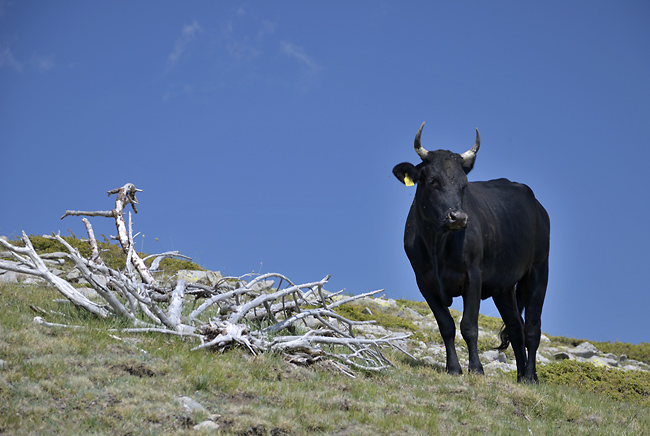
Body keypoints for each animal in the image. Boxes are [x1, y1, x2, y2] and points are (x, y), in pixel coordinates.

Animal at [392, 122, 548, 382]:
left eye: (464, 184)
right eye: (433, 180)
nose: (459, 217)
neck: (437, 246)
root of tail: (538, 205)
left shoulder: (473, 276)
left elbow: (469, 326)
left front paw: (476, 368)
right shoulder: (424, 282)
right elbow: (446, 325)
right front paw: (453, 368)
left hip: (538, 270)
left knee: (532, 328)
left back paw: (531, 377)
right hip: (503, 287)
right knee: (516, 327)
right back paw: (520, 377)